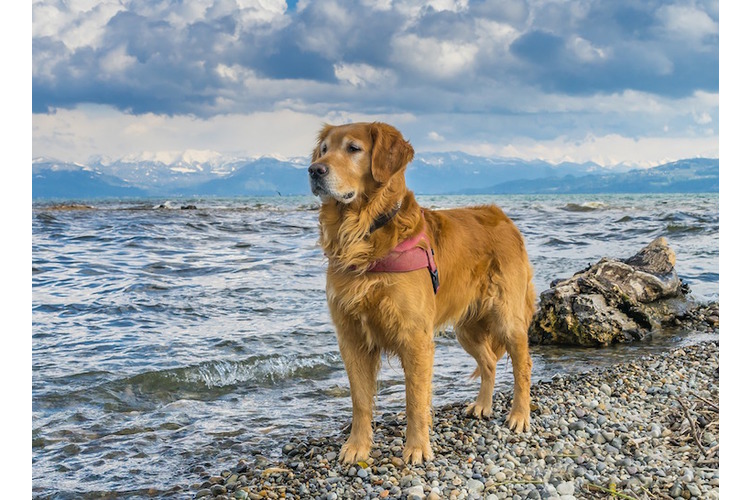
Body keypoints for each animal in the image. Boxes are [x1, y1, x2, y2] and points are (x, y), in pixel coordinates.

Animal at [308, 121, 536, 464]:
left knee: (523, 366)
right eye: (324, 150)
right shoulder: (351, 337)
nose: (314, 170)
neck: (366, 232)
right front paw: (357, 447)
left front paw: (416, 448)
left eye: (353, 148)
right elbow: (360, 400)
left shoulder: (414, 337)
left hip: (506, 316)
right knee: (489, 362)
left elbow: (415, 400)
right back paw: (483, 405)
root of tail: (503, 217)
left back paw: (520, 415)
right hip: (466, 328)